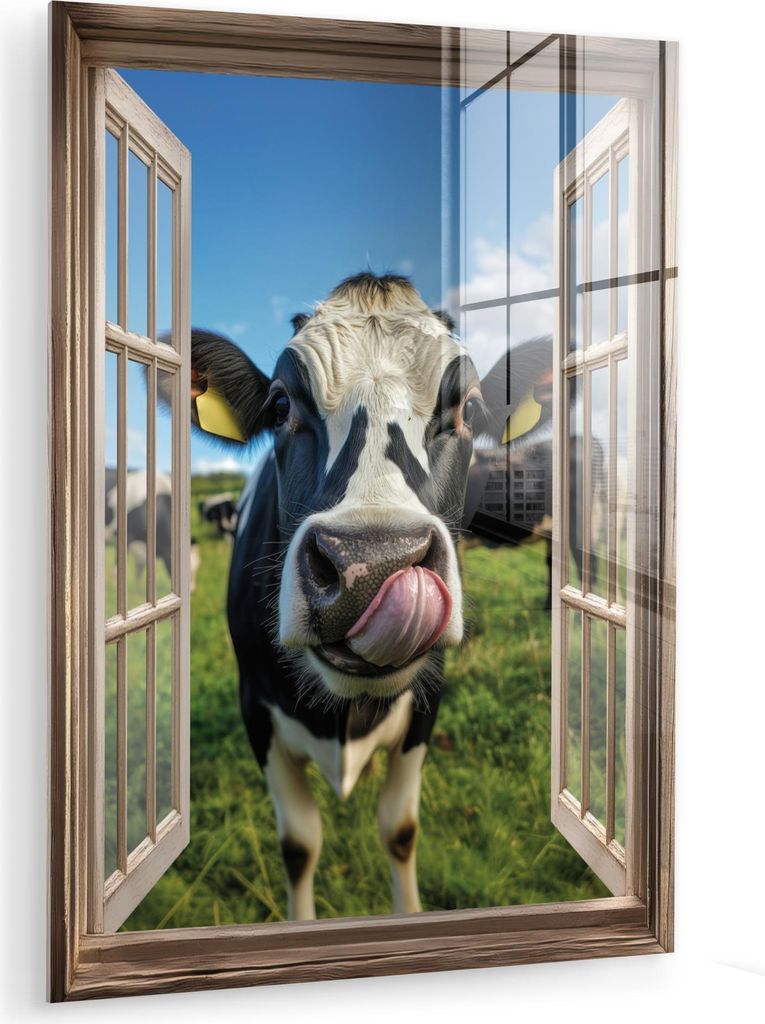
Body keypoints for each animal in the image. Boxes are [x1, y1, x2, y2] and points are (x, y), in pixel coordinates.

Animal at [189, 273, 483, 920]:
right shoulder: (256, 709)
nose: (372, 566)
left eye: (469, 407)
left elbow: (400, 829)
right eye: (280, 406)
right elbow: (299, 844)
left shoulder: (428, 703)